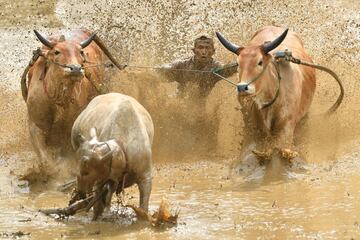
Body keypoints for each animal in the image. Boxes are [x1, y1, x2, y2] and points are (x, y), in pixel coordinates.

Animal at [22, 29, 124, 163]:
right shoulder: (35, 125)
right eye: (57, 52)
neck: (58, 99)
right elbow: (46, 160)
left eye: (80, 52)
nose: (75, 69)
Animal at [215, 25, 316, 172]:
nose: (242, 88)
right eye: (238, 64)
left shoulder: (287, 125)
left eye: (260, 62)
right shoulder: (257, 126)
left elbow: (284, 150)